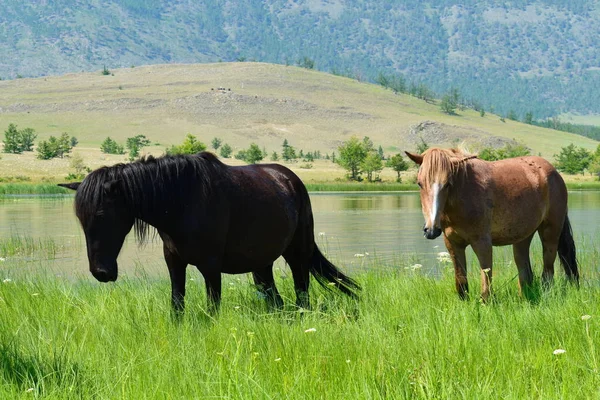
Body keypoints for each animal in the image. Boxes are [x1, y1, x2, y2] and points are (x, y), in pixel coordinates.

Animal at [59, 152, 360, 314]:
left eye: (102, 215)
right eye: (80, 219)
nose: (101, 273)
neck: (183, 201)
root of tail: (290, 180)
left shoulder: (211, 267)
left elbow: (213, 307)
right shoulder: (174, 262)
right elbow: (177, 305)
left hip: (298, 252)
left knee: (302, 292)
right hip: (262, 264)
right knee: (276, 299)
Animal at [406, 148, 580, 302]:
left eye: (448, 184)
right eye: (419, 183)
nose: (431, 230)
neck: (465, 192)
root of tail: (554, 173)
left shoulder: (482, 242)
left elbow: (486, 279)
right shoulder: (453, 243)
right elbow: (461, 280)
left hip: (550, 232)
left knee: (548, 271)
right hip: (523, 237)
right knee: (525, 271)